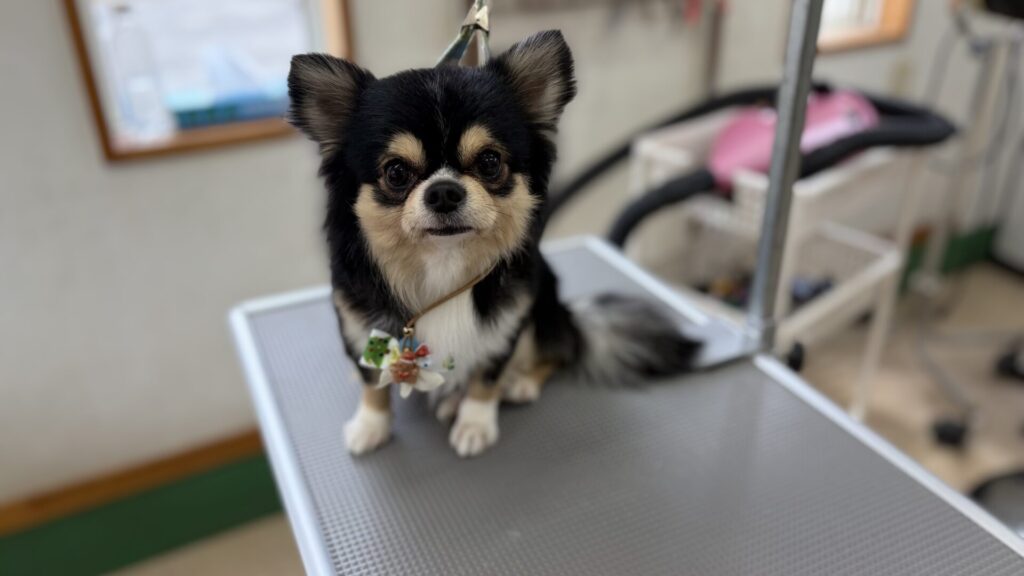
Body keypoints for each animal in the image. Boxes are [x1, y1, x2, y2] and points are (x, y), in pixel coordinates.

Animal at [287, 30, 700, 458]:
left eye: (489, 162)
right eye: (396, 172)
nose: (444, 191)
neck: (443, 264)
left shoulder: (507, 326)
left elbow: (486, 378)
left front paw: (475, 424)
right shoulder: (361, 329)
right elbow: (372, 383)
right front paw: (370, 424)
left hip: (541, 310)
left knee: (558, 351)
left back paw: (516, 384)